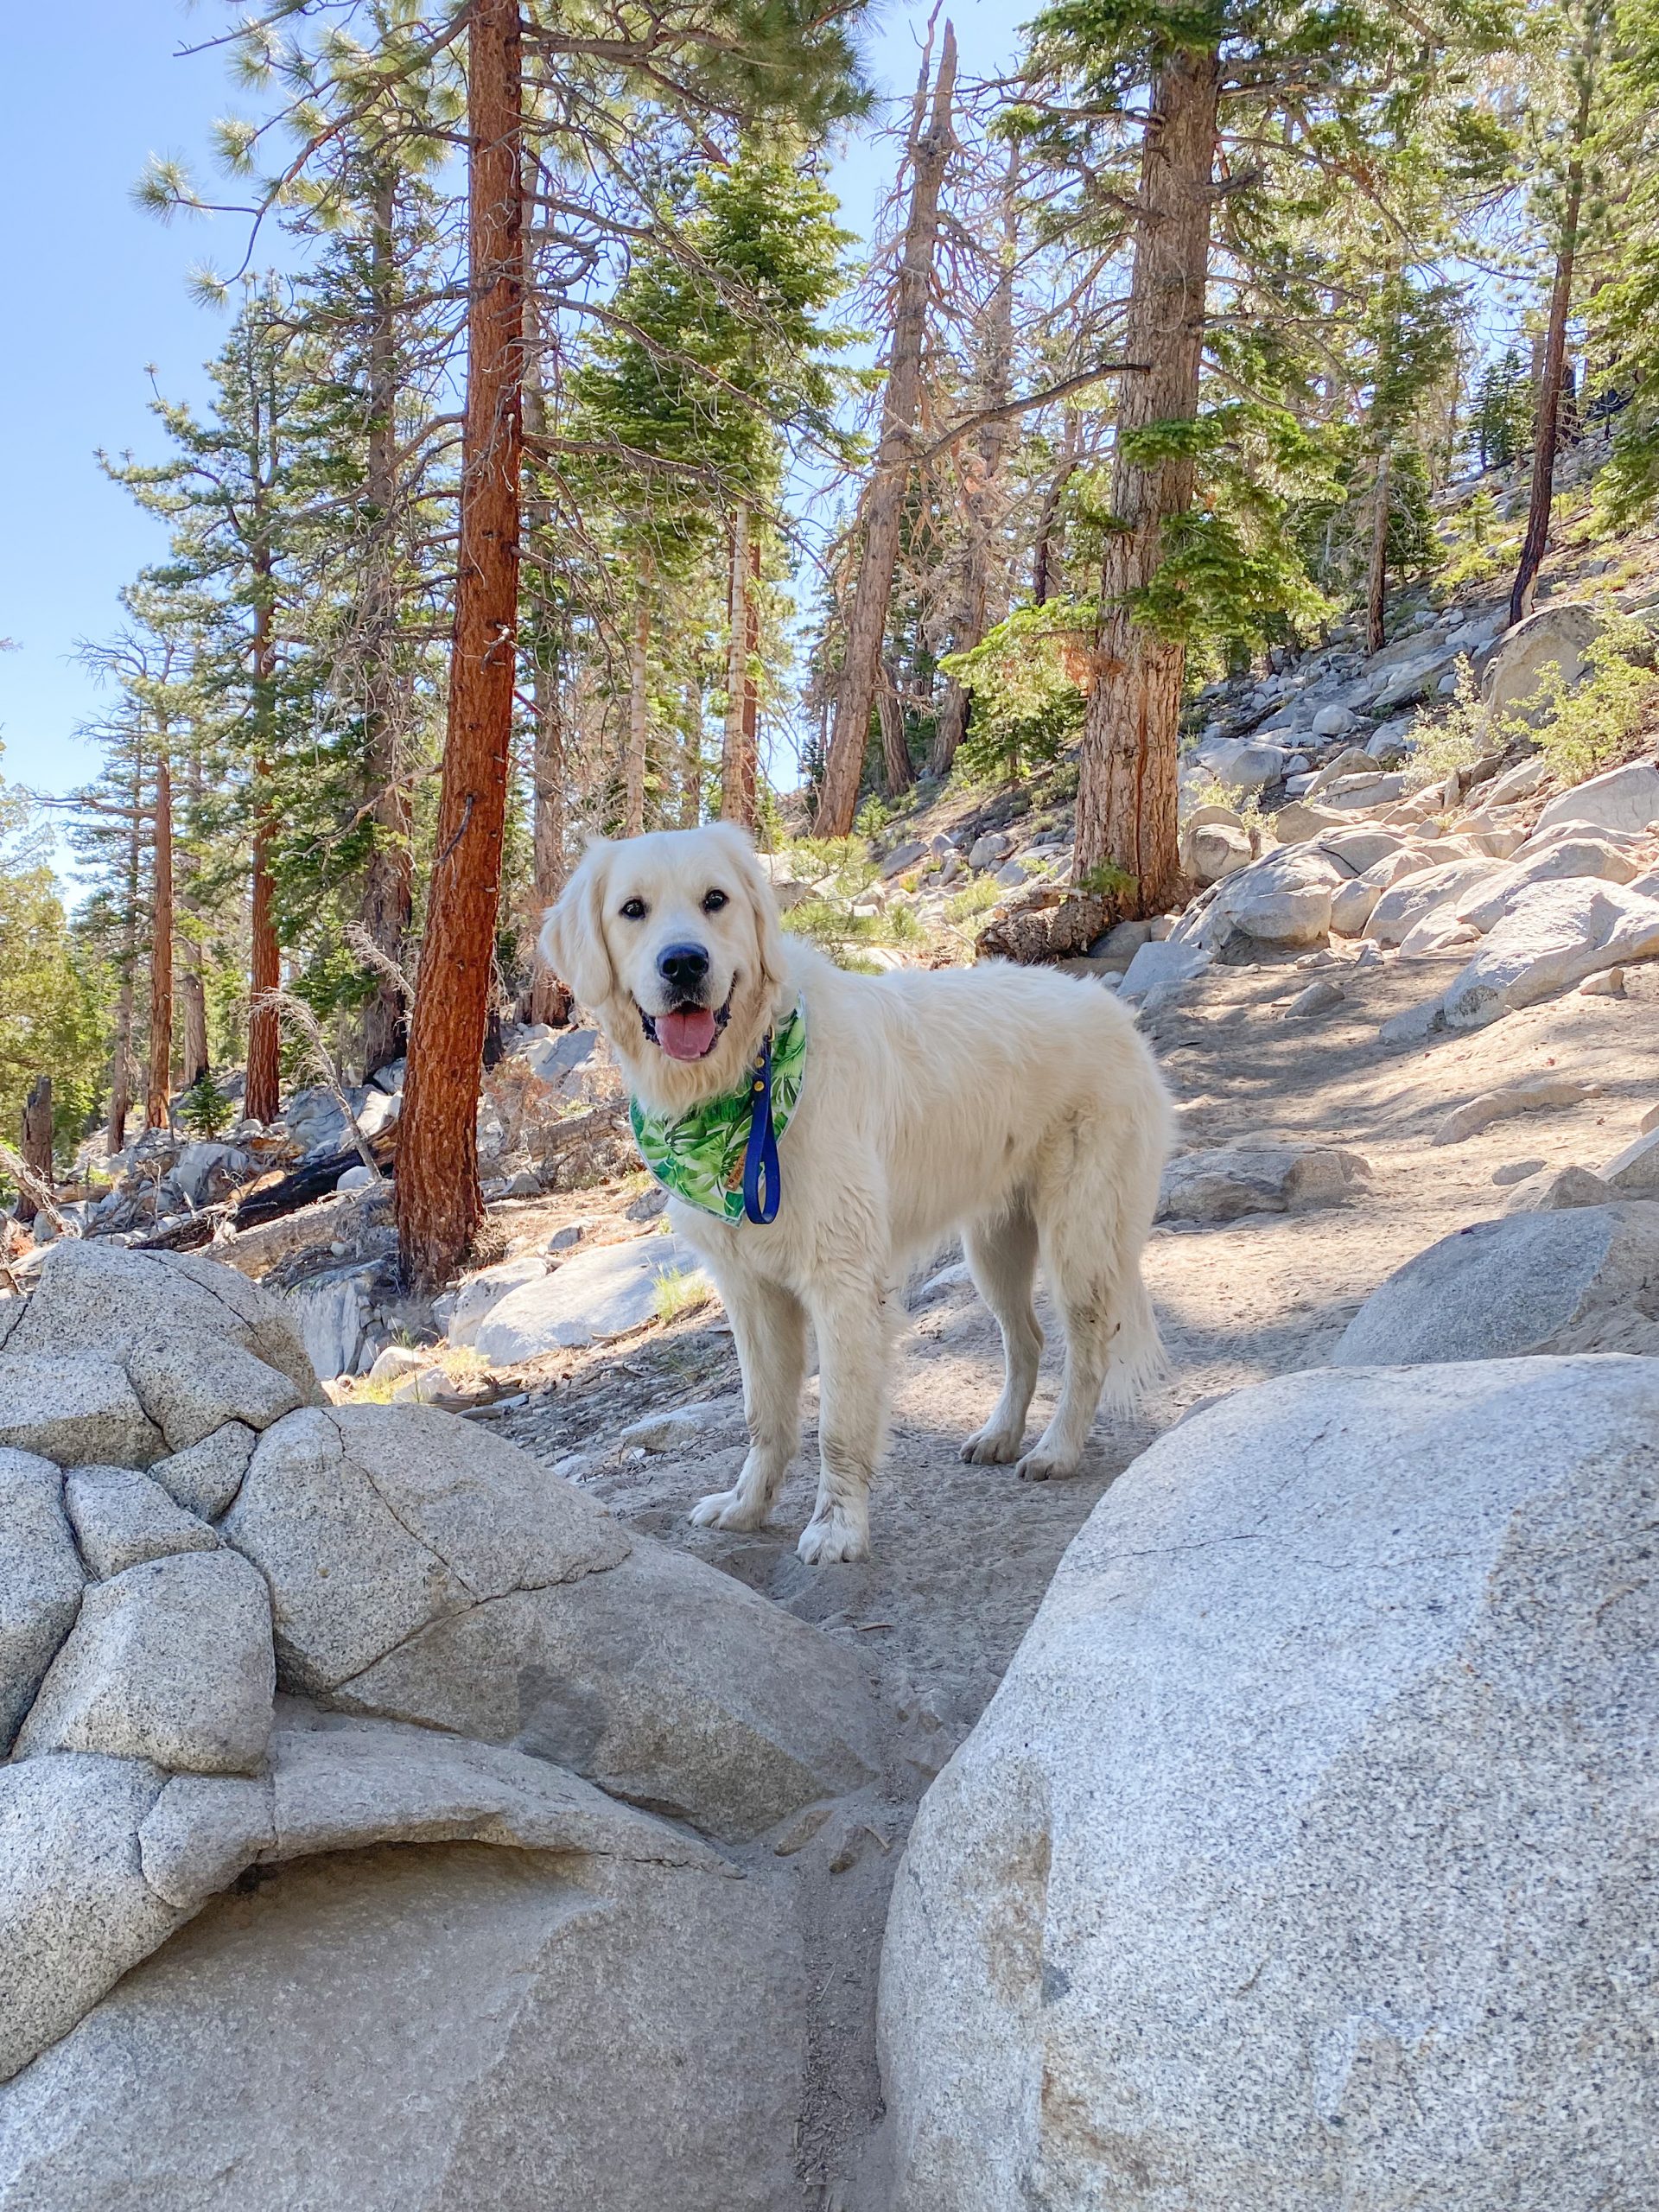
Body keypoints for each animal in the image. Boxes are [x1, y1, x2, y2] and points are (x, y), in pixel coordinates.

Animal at [539, 823, 1176, 1566]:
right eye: (633, 910)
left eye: (715, 900)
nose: (684, 965)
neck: (745, 1084)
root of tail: (1114, 1009)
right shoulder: (750, 1290)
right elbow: (765, 1415)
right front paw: (746, 1507)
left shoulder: (841, 1282)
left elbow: (838, 1424)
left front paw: (838, 1528)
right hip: (995, 1246)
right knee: (1027, 1340)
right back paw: (1000, 1435)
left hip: (1081, 1237)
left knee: (1087, 1345)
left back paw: (1057, 1449)